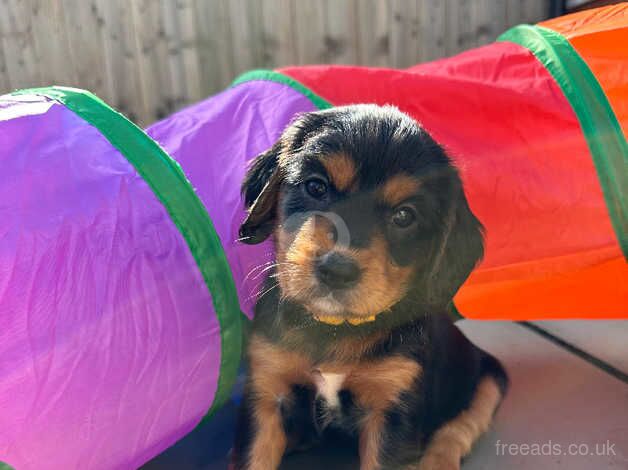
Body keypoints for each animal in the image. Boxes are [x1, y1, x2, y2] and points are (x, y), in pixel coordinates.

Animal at [233, 105, 508, 470]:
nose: (336, 270)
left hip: (489, 379)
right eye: (316, 187)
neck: (334, 328)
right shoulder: (267, 389)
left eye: (404, 216)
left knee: (456, 432)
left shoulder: (392, 406)